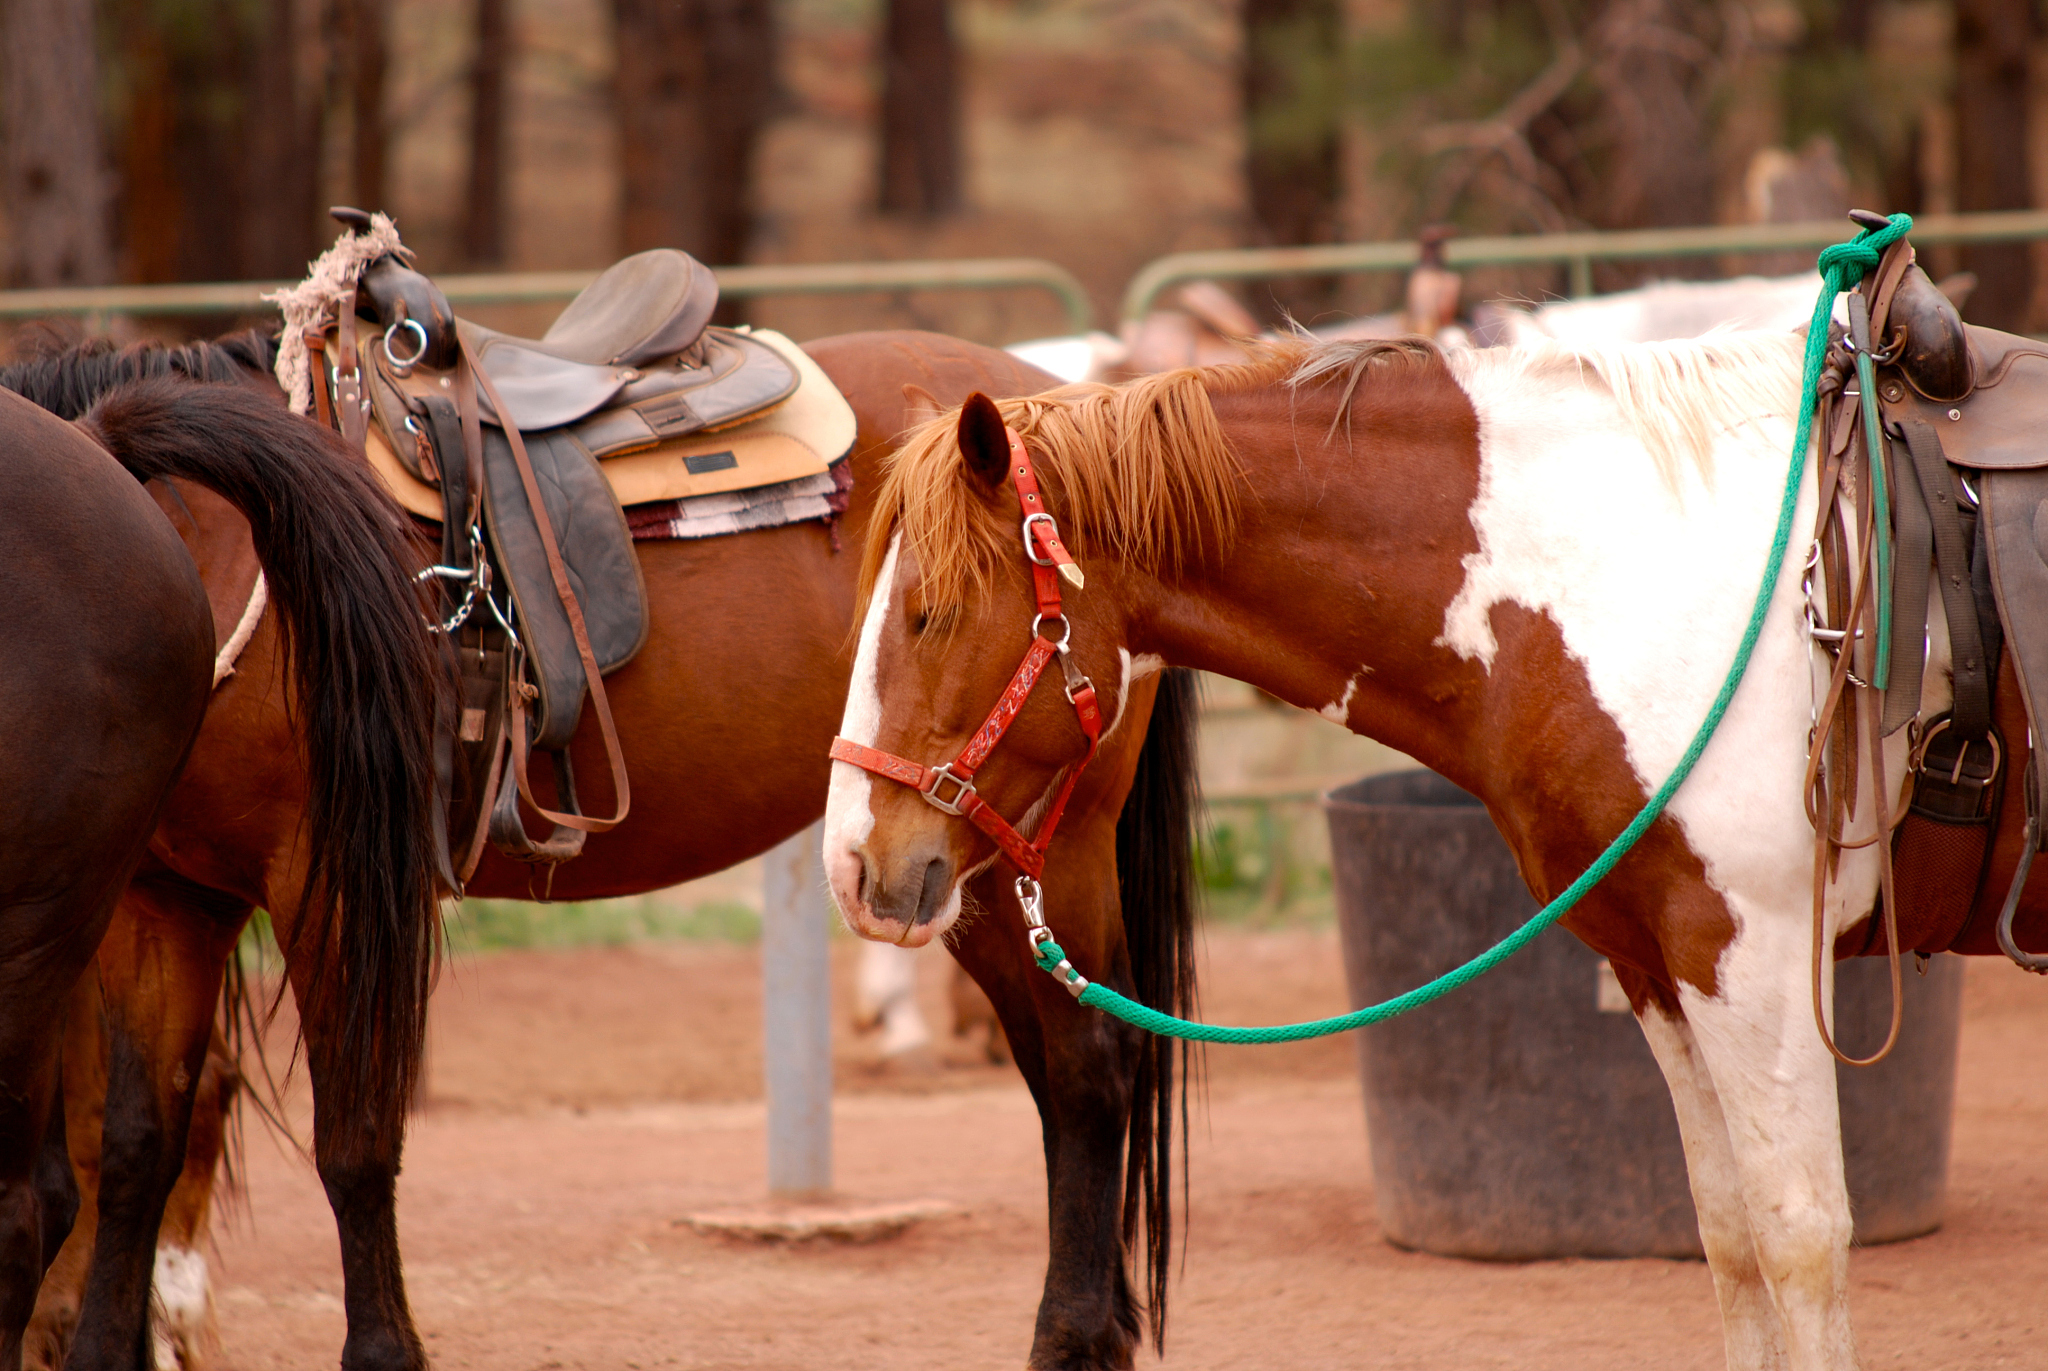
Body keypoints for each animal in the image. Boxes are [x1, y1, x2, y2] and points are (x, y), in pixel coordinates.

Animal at [822, 331, 2035, 1370]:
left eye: (929, 613)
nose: (855, 864)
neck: (1617, 572)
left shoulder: (1752, 955)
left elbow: (1797, 1236)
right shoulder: (1655, 962)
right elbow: (1730, 1233)